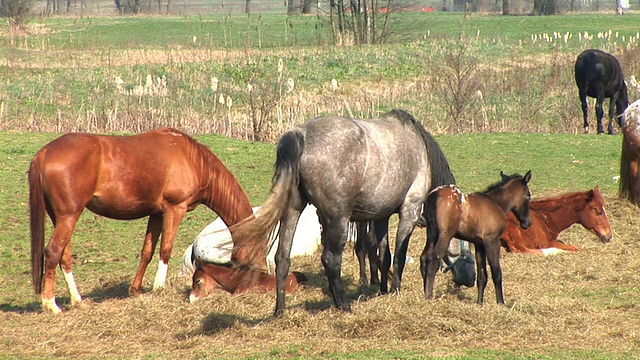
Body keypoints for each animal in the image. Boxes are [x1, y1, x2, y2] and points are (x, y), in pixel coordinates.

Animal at [29, 128, 264, 314]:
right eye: (260, 249)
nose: (257, 279)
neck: (193, 159)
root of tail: (44, 153)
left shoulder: (156, 214)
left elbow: (147, 251)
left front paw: (136, 290)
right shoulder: (174, 210)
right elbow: (166, 249)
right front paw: (159, 288)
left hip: (61, 218)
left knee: (64, 256)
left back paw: (77, 300)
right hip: (68, 217)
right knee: (53, 252)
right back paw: (50, 304)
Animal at [234, 109, 456, 316]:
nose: (431, 294)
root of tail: (301, 134)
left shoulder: (381, 217)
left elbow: (383, 256)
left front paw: (383, 291)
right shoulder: (410, 211)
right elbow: (399, 256)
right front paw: (395, 291)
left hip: (293, 210)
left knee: (282, 258)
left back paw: (280, 310)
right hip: (338, 219)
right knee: (331, 259)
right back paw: (344, 305)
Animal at [422, 170, 532, 306]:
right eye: (528, 196)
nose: (528, 223)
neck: (496, 203)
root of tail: (436, 194)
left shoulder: (479, 244)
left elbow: (482, 275)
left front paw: (480, 302)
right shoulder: (492, 241)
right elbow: (496, 272)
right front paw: (500, 302)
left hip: (432, 234)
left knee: (424, 257)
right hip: (445, 235)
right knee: (434, 258)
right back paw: (429, 296)